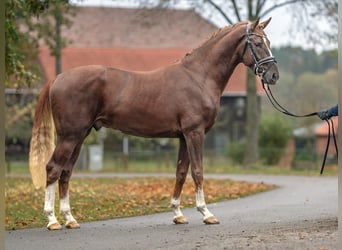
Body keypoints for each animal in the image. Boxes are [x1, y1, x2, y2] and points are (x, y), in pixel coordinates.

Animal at [29, 17, 280, 229]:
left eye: (268, 42)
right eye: (258, 43)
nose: (273, 75)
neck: (199, 76)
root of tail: (58, 78)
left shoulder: (183, 136)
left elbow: (181, 172)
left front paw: (178, 214)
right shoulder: (195, 133)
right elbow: (198, 171)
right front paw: (206, 213)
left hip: (79, 136)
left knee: (66, 172)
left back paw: (70, 219)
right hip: (69, 136)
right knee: (53, 168)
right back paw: (52, 220)